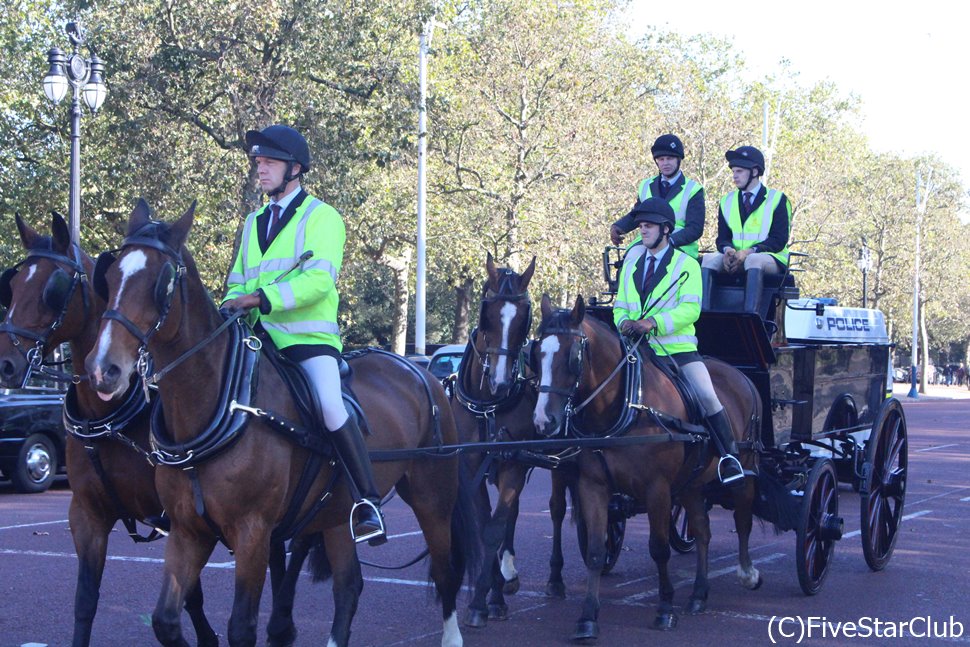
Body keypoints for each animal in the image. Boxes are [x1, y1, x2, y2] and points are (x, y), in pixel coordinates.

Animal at [0, 214, 216, 647]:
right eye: (11, 287)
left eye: (52, 288)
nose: (5, 363)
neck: (110, 415)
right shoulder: (88, 515)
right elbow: (85, 599)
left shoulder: (179, 515)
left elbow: (192, 596)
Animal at [84, 201, 476, 647]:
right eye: (110, 277)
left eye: (161, 282)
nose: (103, 370)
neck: (223, 404)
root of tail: (421, 371)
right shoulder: (188, 531)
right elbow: (166, 620)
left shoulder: (253, 533)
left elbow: (241, 627)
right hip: (337, 514)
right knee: (349, 586)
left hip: (432, 499)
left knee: (445, 572)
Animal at [528, 296, 764, 640]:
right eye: (536, 353)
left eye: (573, 356)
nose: (545, 421)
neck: (628, 403)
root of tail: (742, 377)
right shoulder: (593, 486)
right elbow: (596, 550)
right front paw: (587, 618)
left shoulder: (658, 490)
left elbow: (659, 548)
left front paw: (664, 609)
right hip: (693, 483)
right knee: (702, 531)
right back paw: (698, 594)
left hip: (744, 470)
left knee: (743, 517)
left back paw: (747, 572)